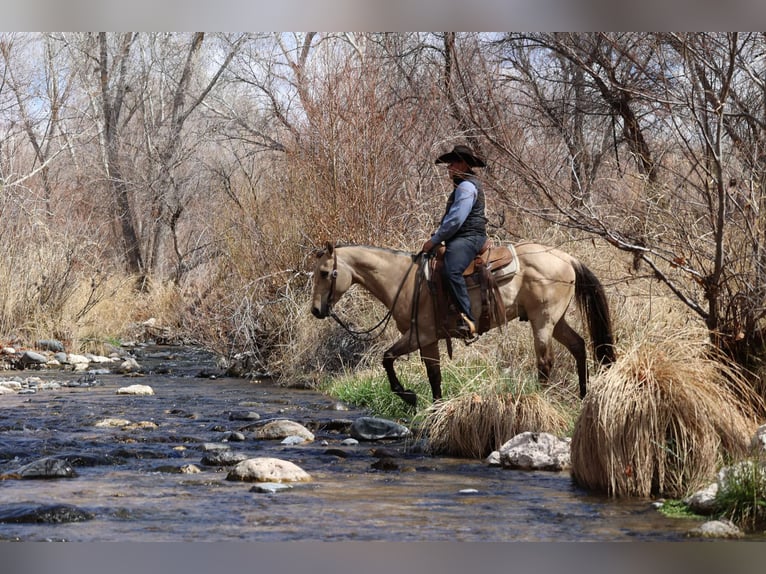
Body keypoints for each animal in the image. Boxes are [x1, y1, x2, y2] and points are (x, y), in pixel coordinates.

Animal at [310, 241, 615, 406]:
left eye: (325, 272)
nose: (316, 310)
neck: (405, 281)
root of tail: (566, 257)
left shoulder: (418, 334)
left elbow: (387, 358)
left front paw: (408, 396)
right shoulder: (428, 339)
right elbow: (434, 375)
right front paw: (434, 408)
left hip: (543, 321)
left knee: (545, 362)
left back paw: (541, 398)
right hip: (557, 321)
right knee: (578, 346)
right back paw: (583, 396)